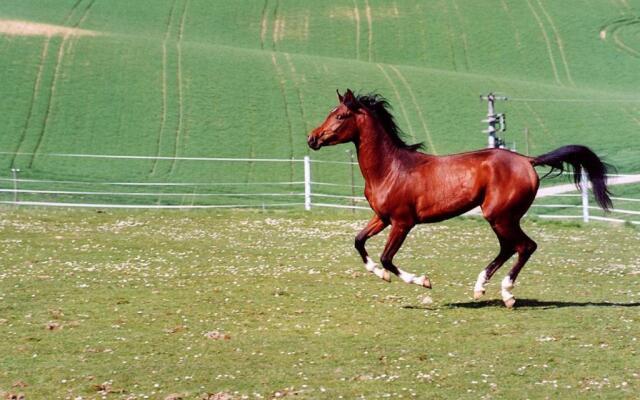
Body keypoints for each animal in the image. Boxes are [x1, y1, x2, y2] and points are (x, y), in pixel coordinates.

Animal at [308, 89, 612, 308]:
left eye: (340, 116)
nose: (312, 138)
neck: (391, 168)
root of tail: (528, 160)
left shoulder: (402, 223)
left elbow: (387, 258)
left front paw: (423, 281)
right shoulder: (382, 217)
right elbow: (359, 242)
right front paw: (379, 273)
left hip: (500, 216)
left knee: (525, 246)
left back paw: (507, 294)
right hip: (501, 218)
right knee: (509, 248)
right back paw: (480, 288)